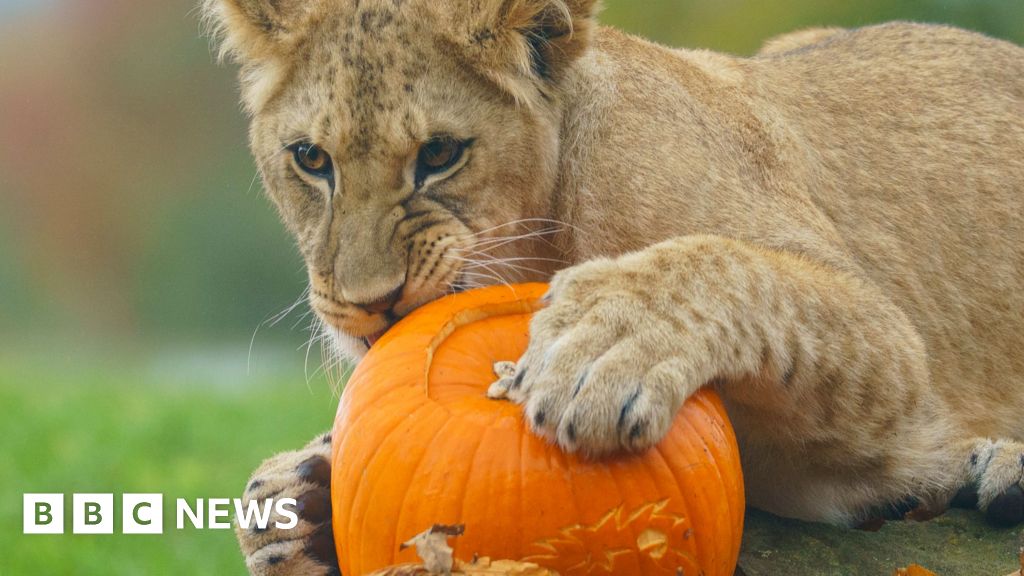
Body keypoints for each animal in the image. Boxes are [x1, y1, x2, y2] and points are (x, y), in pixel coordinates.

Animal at [202, 0, 1024, 573]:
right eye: (310, 159)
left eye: (440, 154)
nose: (368, 305)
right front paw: (293, 503)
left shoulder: (896, 352)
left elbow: (725, 264)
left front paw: (598, 353)